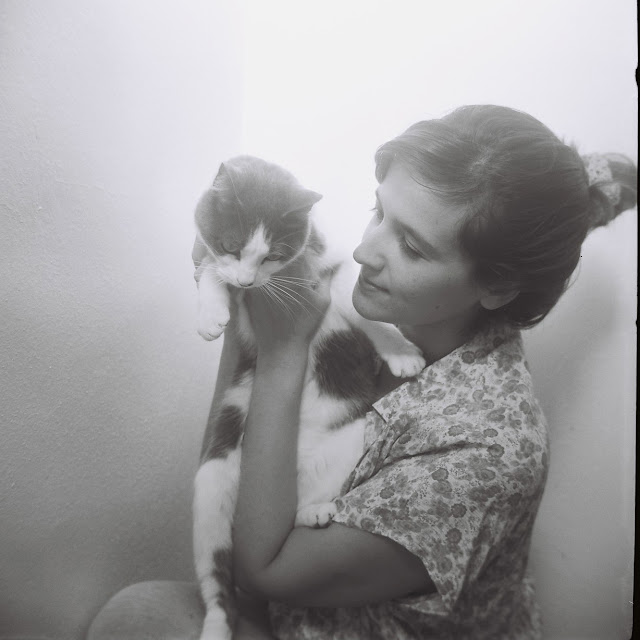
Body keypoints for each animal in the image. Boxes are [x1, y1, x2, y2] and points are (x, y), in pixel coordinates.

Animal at [192, 155, 425, 640]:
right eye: (230, 244)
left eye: (273, 254)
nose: (247, 281)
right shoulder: (210, 258)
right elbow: (209, 271)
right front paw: (211, 312)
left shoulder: (334, 269)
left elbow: (358, 307)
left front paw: (401, 352)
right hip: (212, 479)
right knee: (216, 572)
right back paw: (217, 623)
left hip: (347, 440)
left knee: (289, 523)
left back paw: (312, 512)